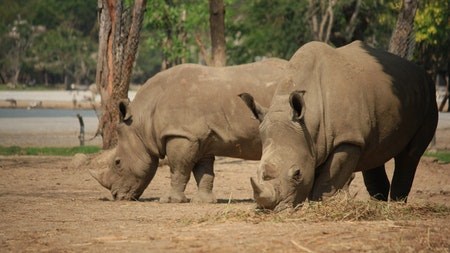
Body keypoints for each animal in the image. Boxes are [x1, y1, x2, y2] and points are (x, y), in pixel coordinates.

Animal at [89, 58, 286, 203]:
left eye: (118, 163)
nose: (117, 196)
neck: (142, 122)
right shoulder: (201, 138)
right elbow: (203, 171)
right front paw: (204, 202)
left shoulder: (182, 135)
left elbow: (178, 168)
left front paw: (169, 201)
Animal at [241, 41, 438, 211]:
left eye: (297, 174)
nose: (270, 209)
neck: (309, 122)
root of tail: (421, 71)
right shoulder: (314, 143)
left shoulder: (347, 140)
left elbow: (328, 180)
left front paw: (321, 205)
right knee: (374, 153)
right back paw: (377, 206)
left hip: (428, 94)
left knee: (410, 155)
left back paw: (397, 206)